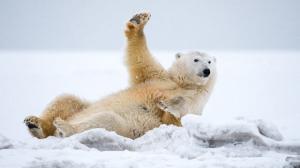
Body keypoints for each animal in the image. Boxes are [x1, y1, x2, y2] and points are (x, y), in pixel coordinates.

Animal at [23, 12, 216, 139]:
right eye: (196, 59)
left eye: (210, 61)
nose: (207, 71)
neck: (182, 84)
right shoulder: (156, 77)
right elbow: (140, 59)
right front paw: (139, 20)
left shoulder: (196, 100)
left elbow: (178, 117)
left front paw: (169, 104)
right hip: (81, 107)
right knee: (65, 99)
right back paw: (36, 123)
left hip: (125, 127)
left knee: (106, 120)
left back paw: (64, 127)